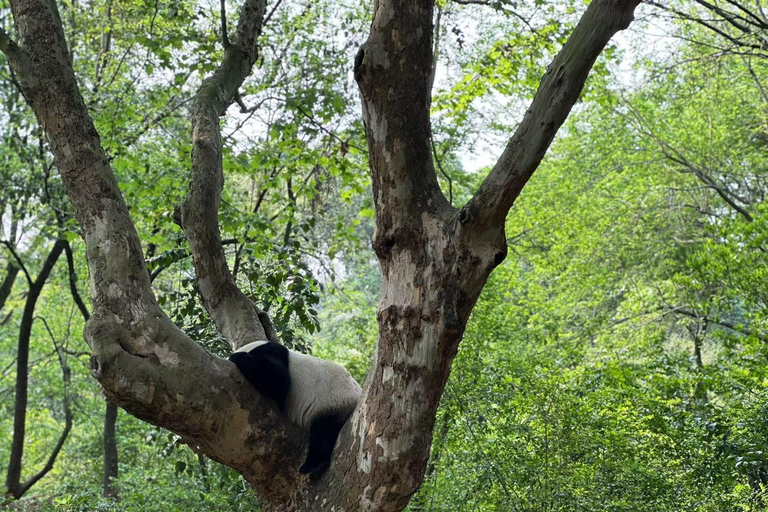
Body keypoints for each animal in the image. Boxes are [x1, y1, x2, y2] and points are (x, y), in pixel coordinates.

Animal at [230, 342, 362, 474]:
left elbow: (278, 379)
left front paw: (236, 357)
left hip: (335, 403)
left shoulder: (273, 352)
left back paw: (311, 465)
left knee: (323, 433)